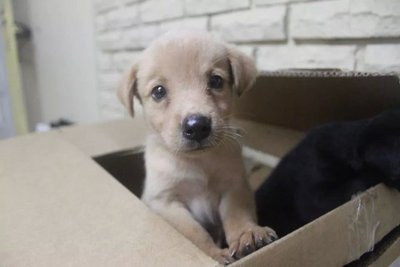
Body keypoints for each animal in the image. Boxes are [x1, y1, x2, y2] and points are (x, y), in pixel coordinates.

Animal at [117, 32, 276, 264]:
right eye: (158, 91)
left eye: (216, 81)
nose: (197, 126)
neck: (199, 163)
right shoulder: (165, 202)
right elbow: (194, 232)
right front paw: (213, 254)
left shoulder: (234, 186)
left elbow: (237, 214)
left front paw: (248, 234)